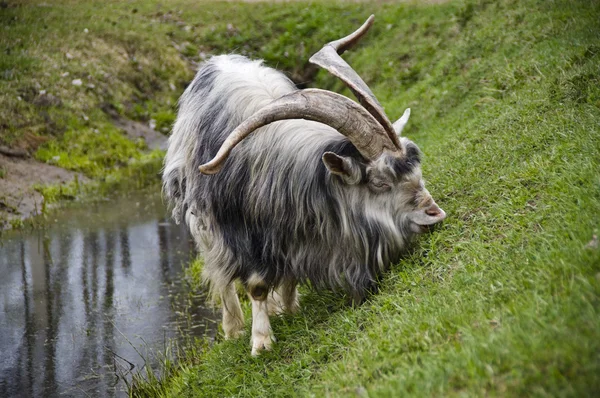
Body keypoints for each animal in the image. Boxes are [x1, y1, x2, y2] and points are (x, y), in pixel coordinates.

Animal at [162, 15, 448, 354]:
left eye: (415, 167)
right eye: (379, 182)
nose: (434, 213)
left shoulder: (295, 229)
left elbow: (289, 275)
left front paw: (290, 308)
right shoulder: (243, 230)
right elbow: (255, 285)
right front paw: (261, 342)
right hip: (201, 221)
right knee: (220, 273)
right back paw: (233, 328)